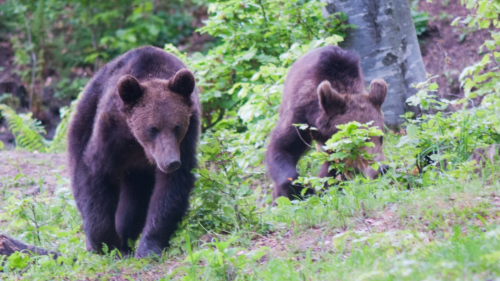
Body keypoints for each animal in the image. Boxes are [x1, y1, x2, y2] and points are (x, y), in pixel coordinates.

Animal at [67, 44, 200, 258]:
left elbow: (170, 190)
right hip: (83, 121)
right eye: (153, 129)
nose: (170, 162)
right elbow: (96, 175)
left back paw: (125, 239)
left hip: (137, 172)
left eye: (177, 127)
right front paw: (104, 243)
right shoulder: (111, 132)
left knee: (136, 198)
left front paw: (149, 246)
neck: (139, 146)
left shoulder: (186, 141)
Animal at [268, 44, 388, 200]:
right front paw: (296, 189)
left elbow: (334, 170)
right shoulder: (300, 118)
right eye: (357, 141)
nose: (382, 168)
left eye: (380, 137)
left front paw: (322, 189)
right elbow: (281, 147)